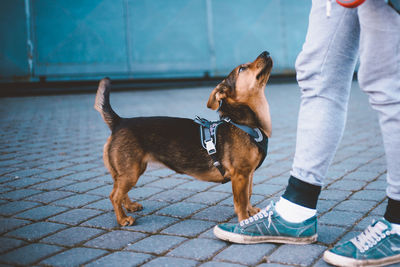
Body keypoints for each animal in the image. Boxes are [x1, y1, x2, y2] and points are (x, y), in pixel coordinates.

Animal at [95, 51, 274, 226]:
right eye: (242, 68)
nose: (266, 52)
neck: (244, 122)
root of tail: (119, 122)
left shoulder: (248, 174)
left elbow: (249, 194)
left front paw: (251, 212)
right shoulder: (240, 175)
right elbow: (241, 201)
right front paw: (244, 220)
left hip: (128, 171)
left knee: (119, 190)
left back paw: (130, 206)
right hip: (131, 172)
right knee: (114, 196)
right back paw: (122, 219)